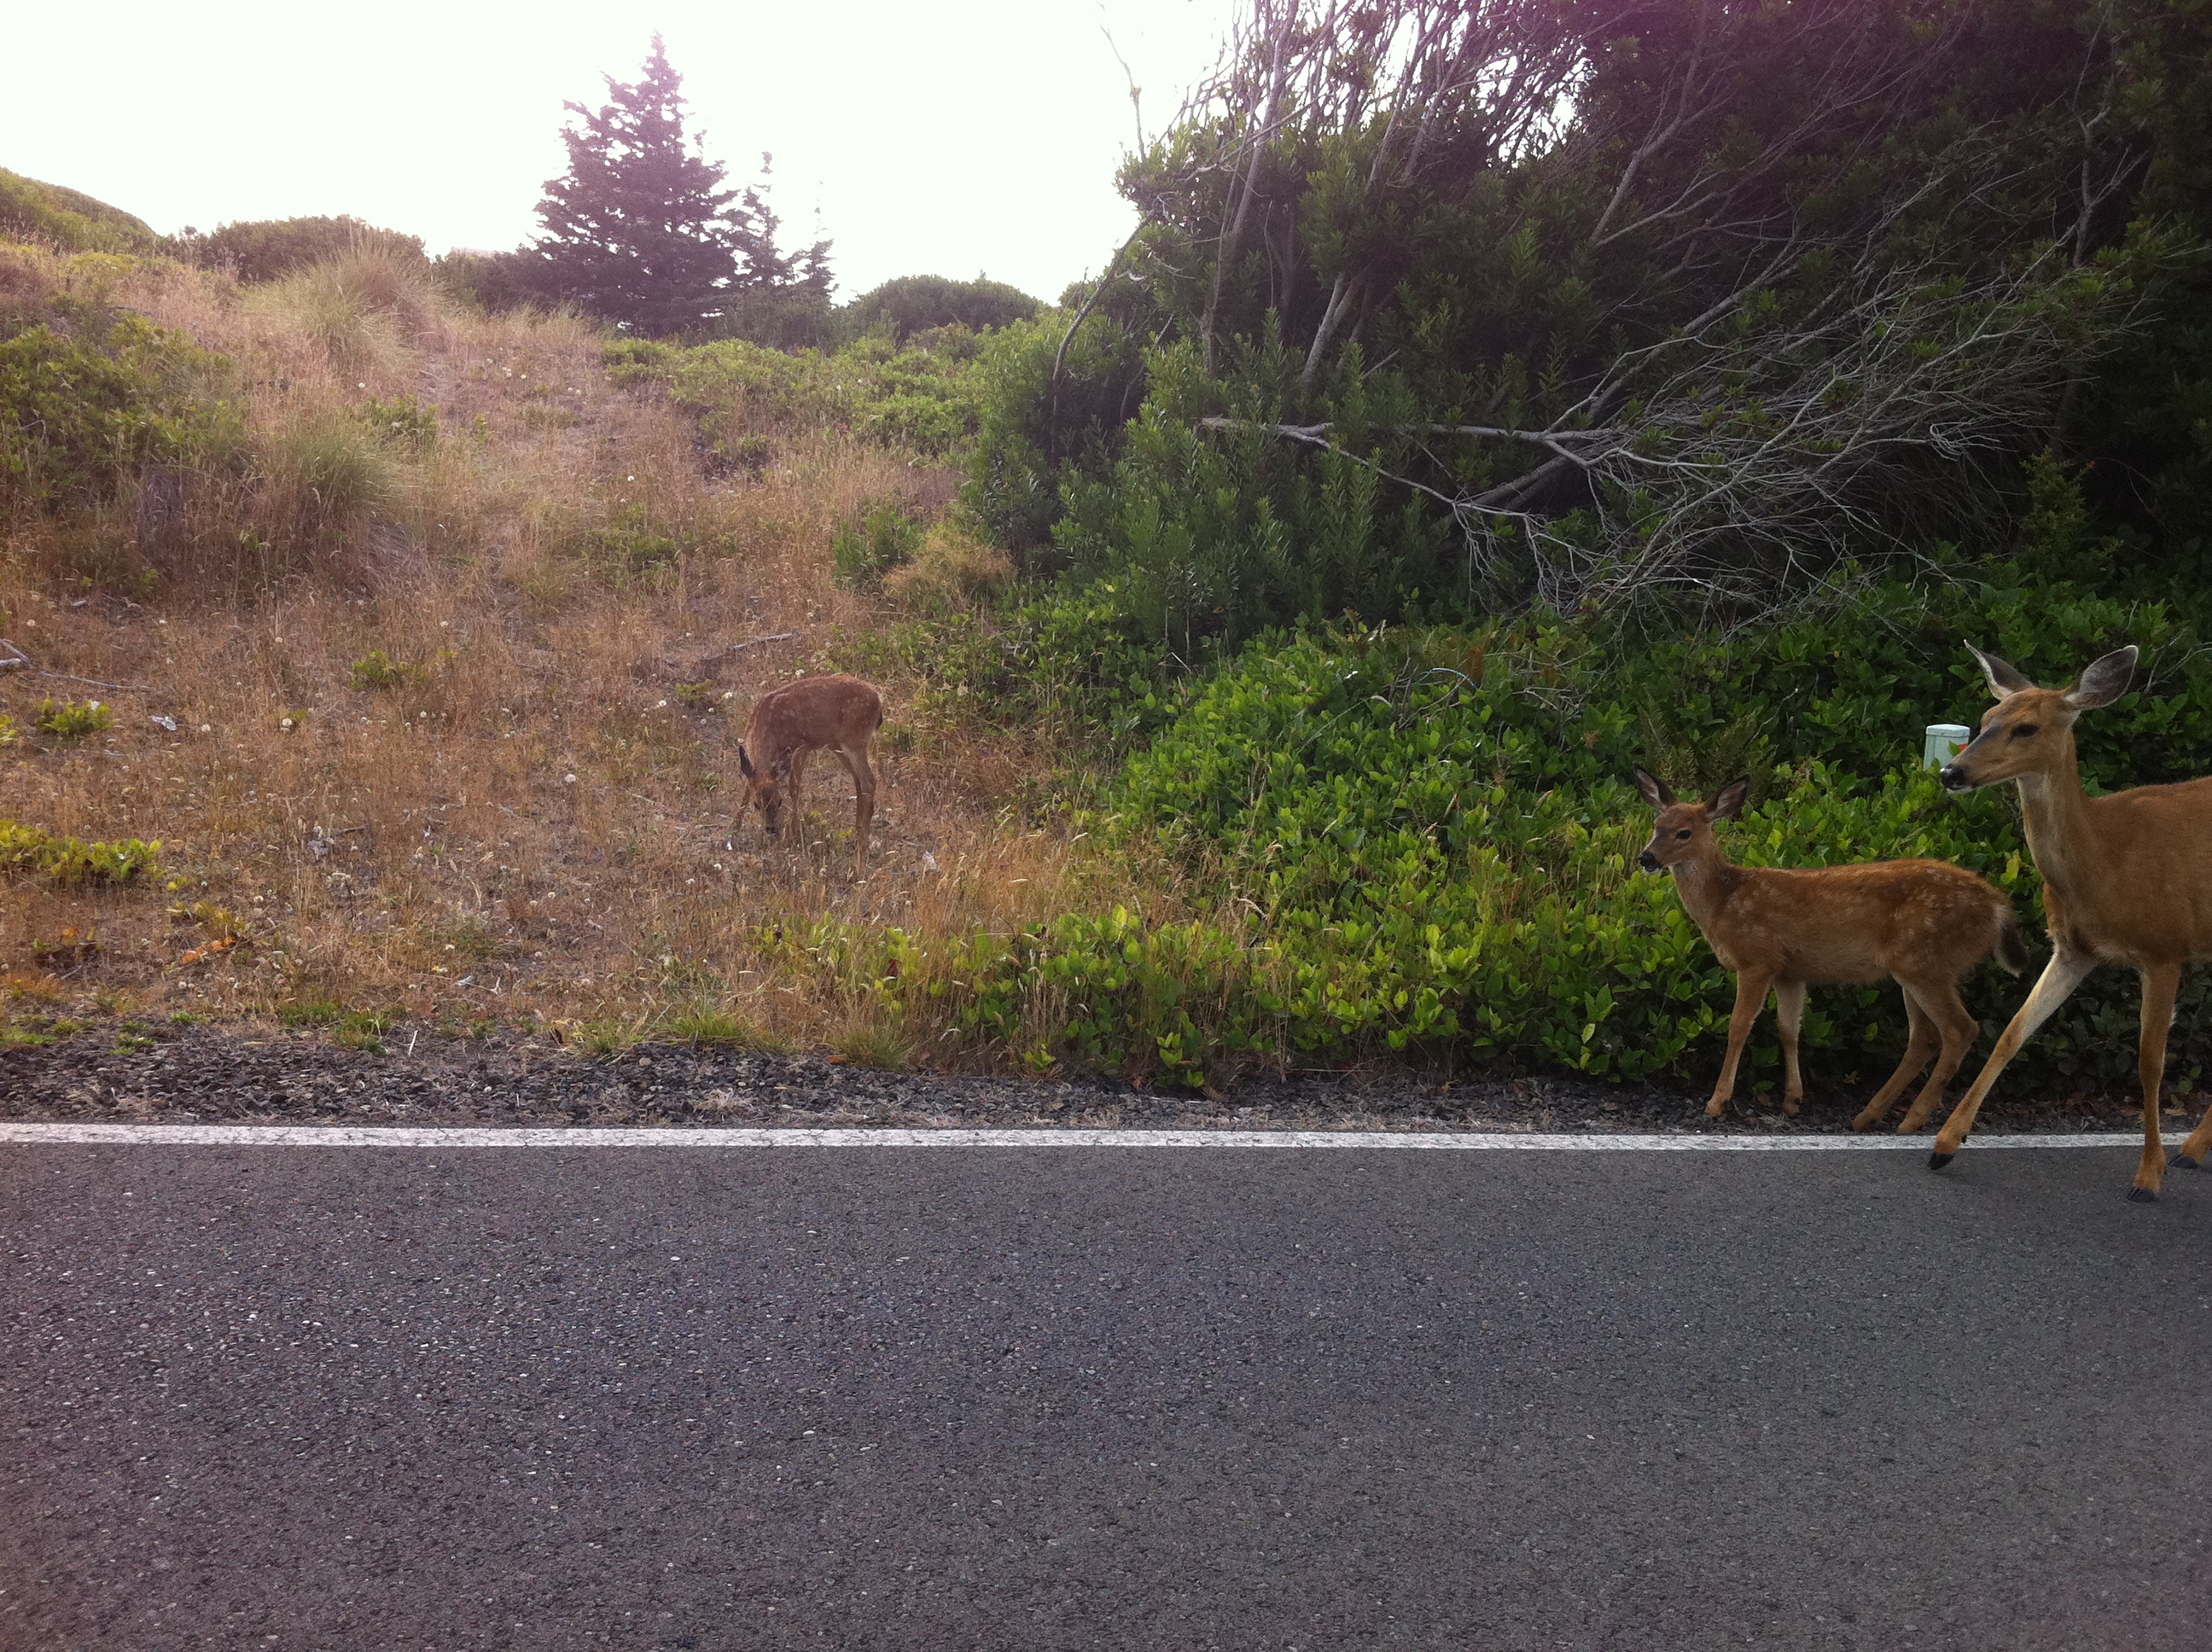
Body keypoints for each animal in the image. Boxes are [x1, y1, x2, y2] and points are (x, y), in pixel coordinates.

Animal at [736, 673, 884, 867]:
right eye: (757, 804)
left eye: (779, 801)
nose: (771, 829)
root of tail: (878, 698)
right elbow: (747, 789)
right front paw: (733, 831)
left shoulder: (802, 745)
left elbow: (794, 787)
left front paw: (791, 835)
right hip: (836, 744)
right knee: (858, 780)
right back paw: (856, 832)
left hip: (855, 739)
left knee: (869, 780)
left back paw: (862, 841)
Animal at [1635, 767, 2027, 1127]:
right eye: (1656, 825)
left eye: (1684, 832)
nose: (1646, 858)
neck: (1723, 902)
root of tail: (1998, 908)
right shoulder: (1790, 971)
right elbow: (1789, 1030)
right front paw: (1792, 1100)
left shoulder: (1758, 959)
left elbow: (1738, 1026)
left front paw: (1717, 1102)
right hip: (1918, 968)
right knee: (1925, 1038)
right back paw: (1868, 1115)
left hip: (1927, 962)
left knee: (1961, 1030)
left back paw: (1911, 1120)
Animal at [1932, 644, 2212, 1201]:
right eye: (1986, 719)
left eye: (2027, 728)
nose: (1951, 773)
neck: (2105, 860)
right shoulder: (2073, 950)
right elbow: (2012, 1032)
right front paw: (1945, 1144)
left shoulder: (2165, 948)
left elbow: (2150, 1062)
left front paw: (2148, 1176)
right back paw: (2193, 1152)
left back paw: (2184, 1154)